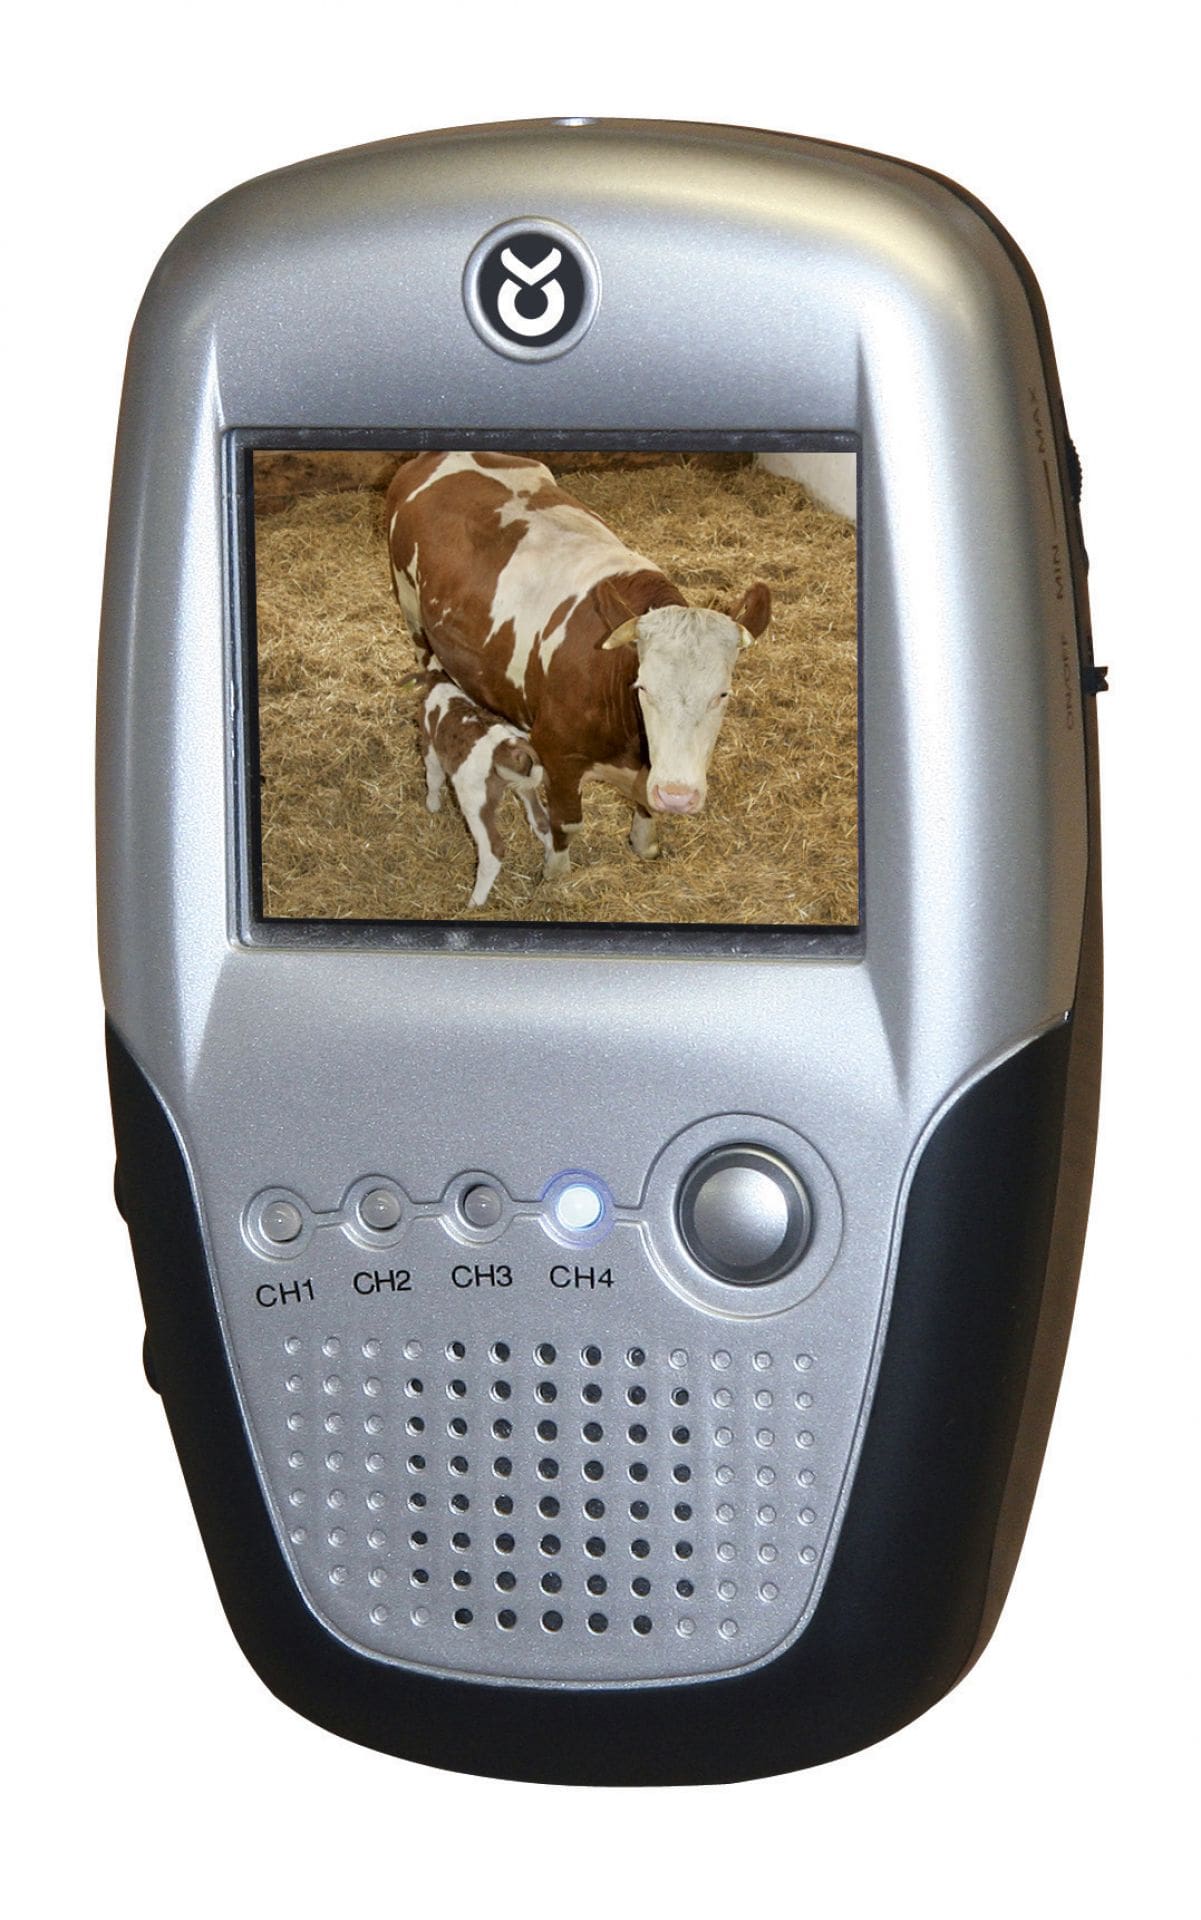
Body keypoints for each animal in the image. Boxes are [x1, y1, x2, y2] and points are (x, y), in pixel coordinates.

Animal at [385, 451, 771, 876]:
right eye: (643, 688)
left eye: (723, 694)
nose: (678, 796)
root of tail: (434, 456)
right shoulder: (557, 754)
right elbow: (567, 822)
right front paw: (555, 873)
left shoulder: (649, 767)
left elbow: (645, 804)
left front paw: (644, 844)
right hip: (410, 608)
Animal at [419, 673, 553, 907]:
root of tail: (507, 747)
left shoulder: (430, 746)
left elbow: (433, 777)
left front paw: (432, 804)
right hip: (525, 783)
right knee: (541, 820)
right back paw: (551, 863)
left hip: (475, 801)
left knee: (492, 850)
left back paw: (475, 901)